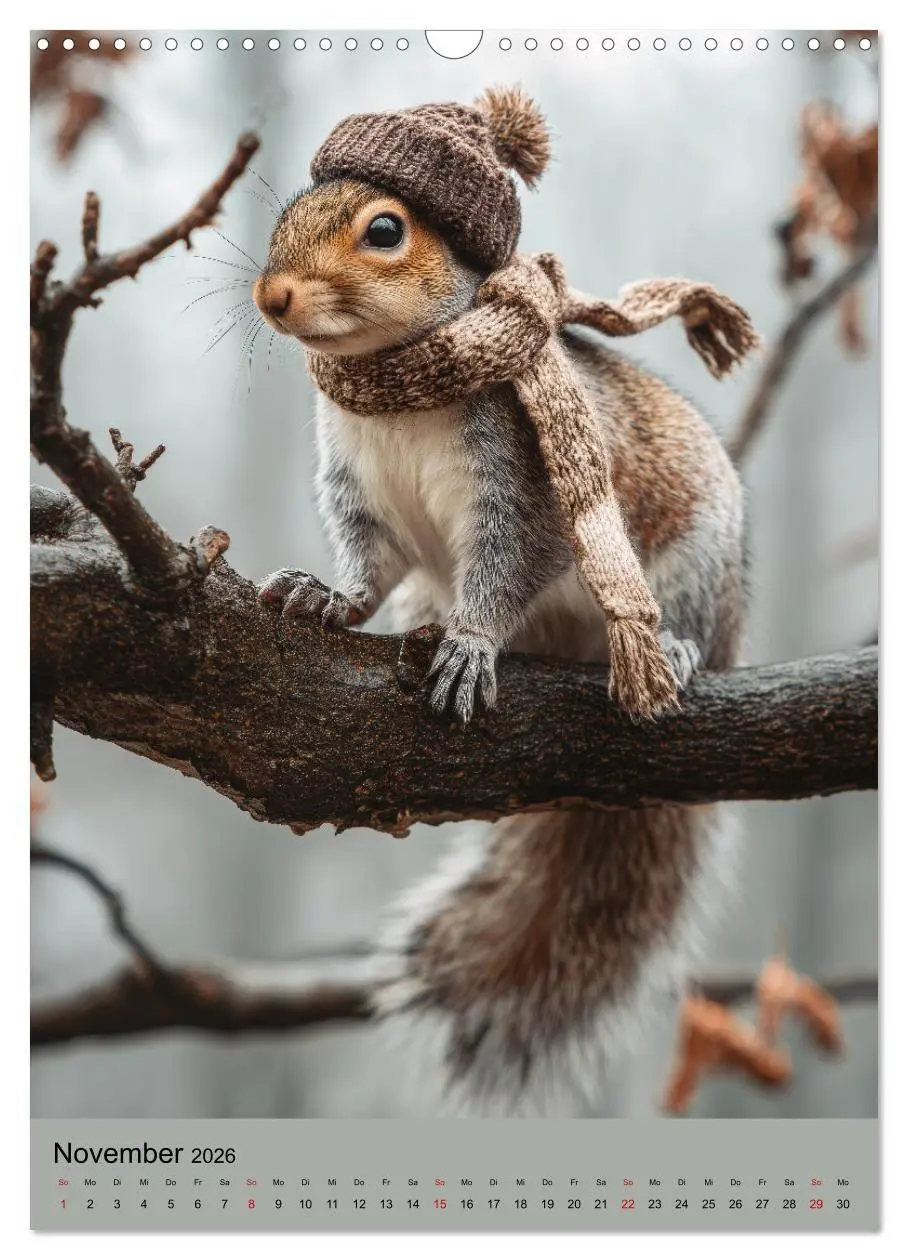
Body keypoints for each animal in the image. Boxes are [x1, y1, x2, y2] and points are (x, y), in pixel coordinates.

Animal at [252, 88, 746, 1112]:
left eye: (386, 230)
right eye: (289, 211)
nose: (270, 296)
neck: (394, 386)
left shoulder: (521, 485)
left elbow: (510, 566)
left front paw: (476, 642)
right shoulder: (359, 493)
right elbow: (368, 565)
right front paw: (326, 596)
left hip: (698, 564)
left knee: (687, 626)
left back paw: (674, 651)